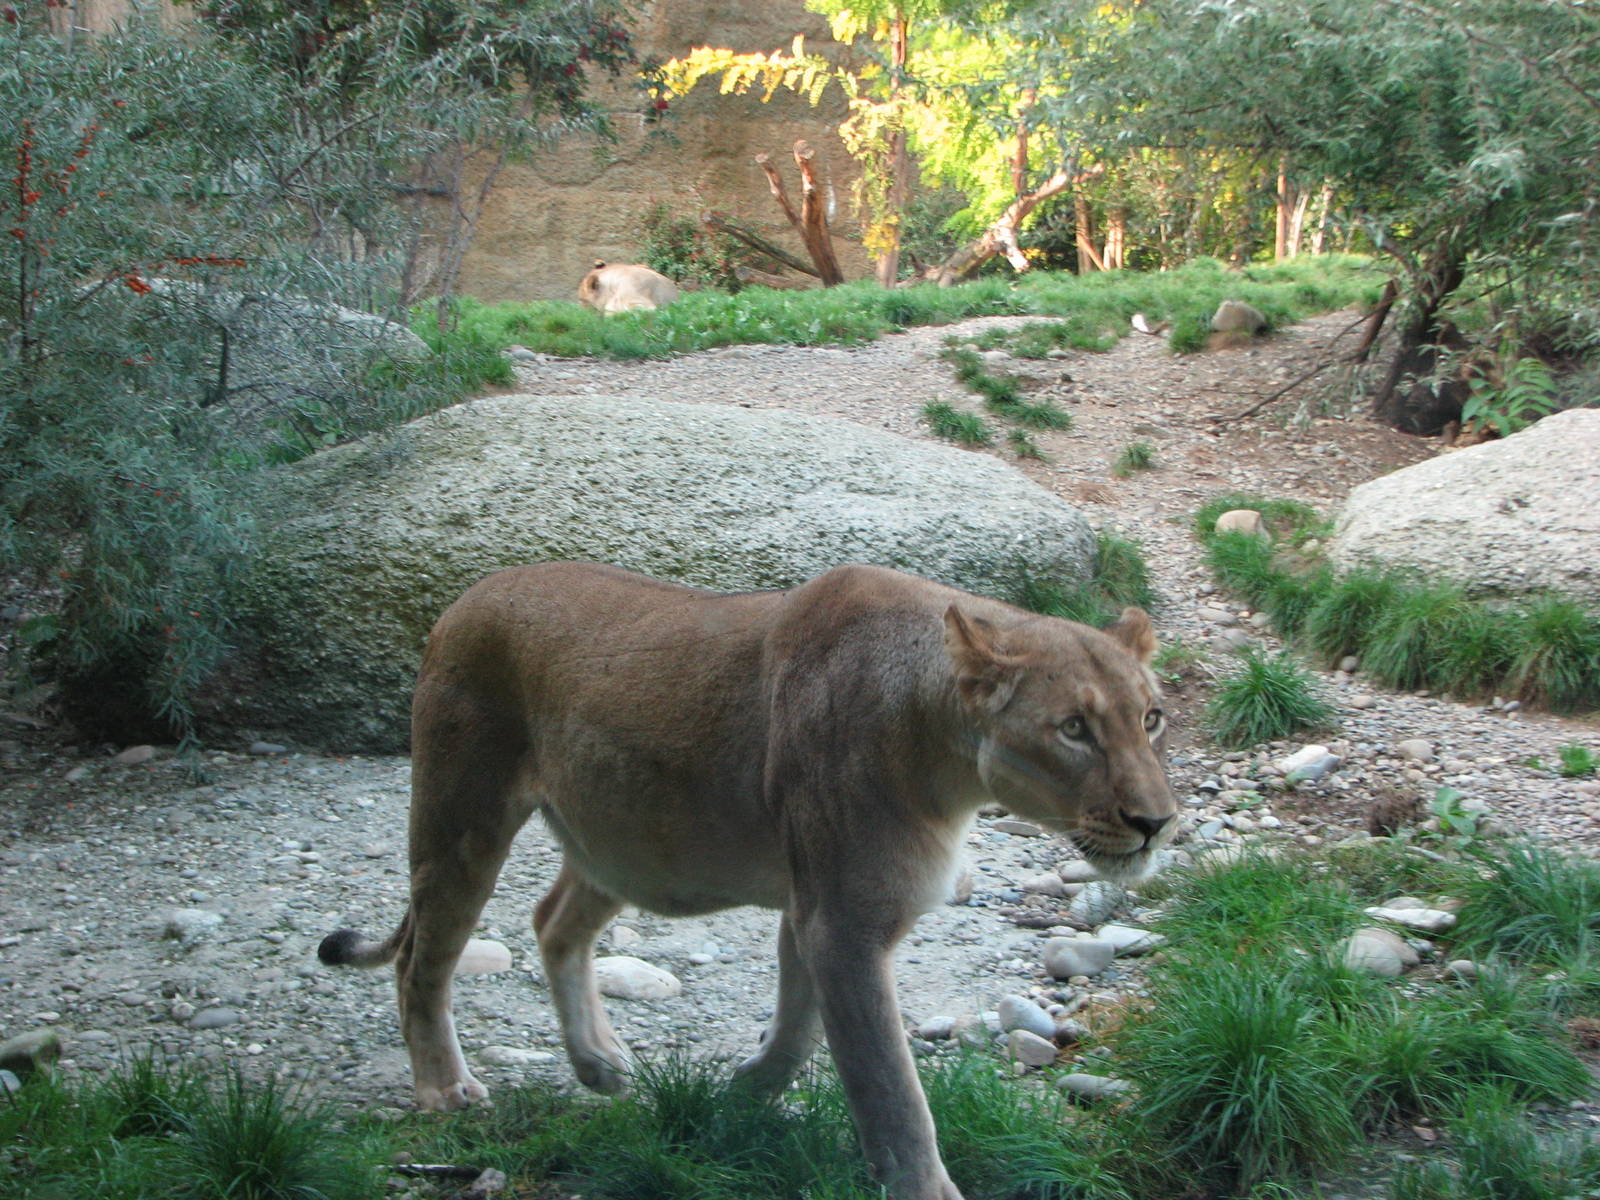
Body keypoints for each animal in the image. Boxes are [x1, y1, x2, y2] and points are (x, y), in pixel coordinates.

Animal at [319, 562, 1176, 1200]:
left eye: (1151, 717)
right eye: (1073, 728)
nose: (1157, 822)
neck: (945, 753)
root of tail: (467, 595)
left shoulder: (815, 907)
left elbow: (799, 1028)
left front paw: (741, 1091)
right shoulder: (843, 920)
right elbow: (892, 1091)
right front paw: (921, 1184)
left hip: (625, 837)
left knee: (553, 921)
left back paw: (598, 1063)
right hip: (463, 819)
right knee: (421, 959)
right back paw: (444, 1088)